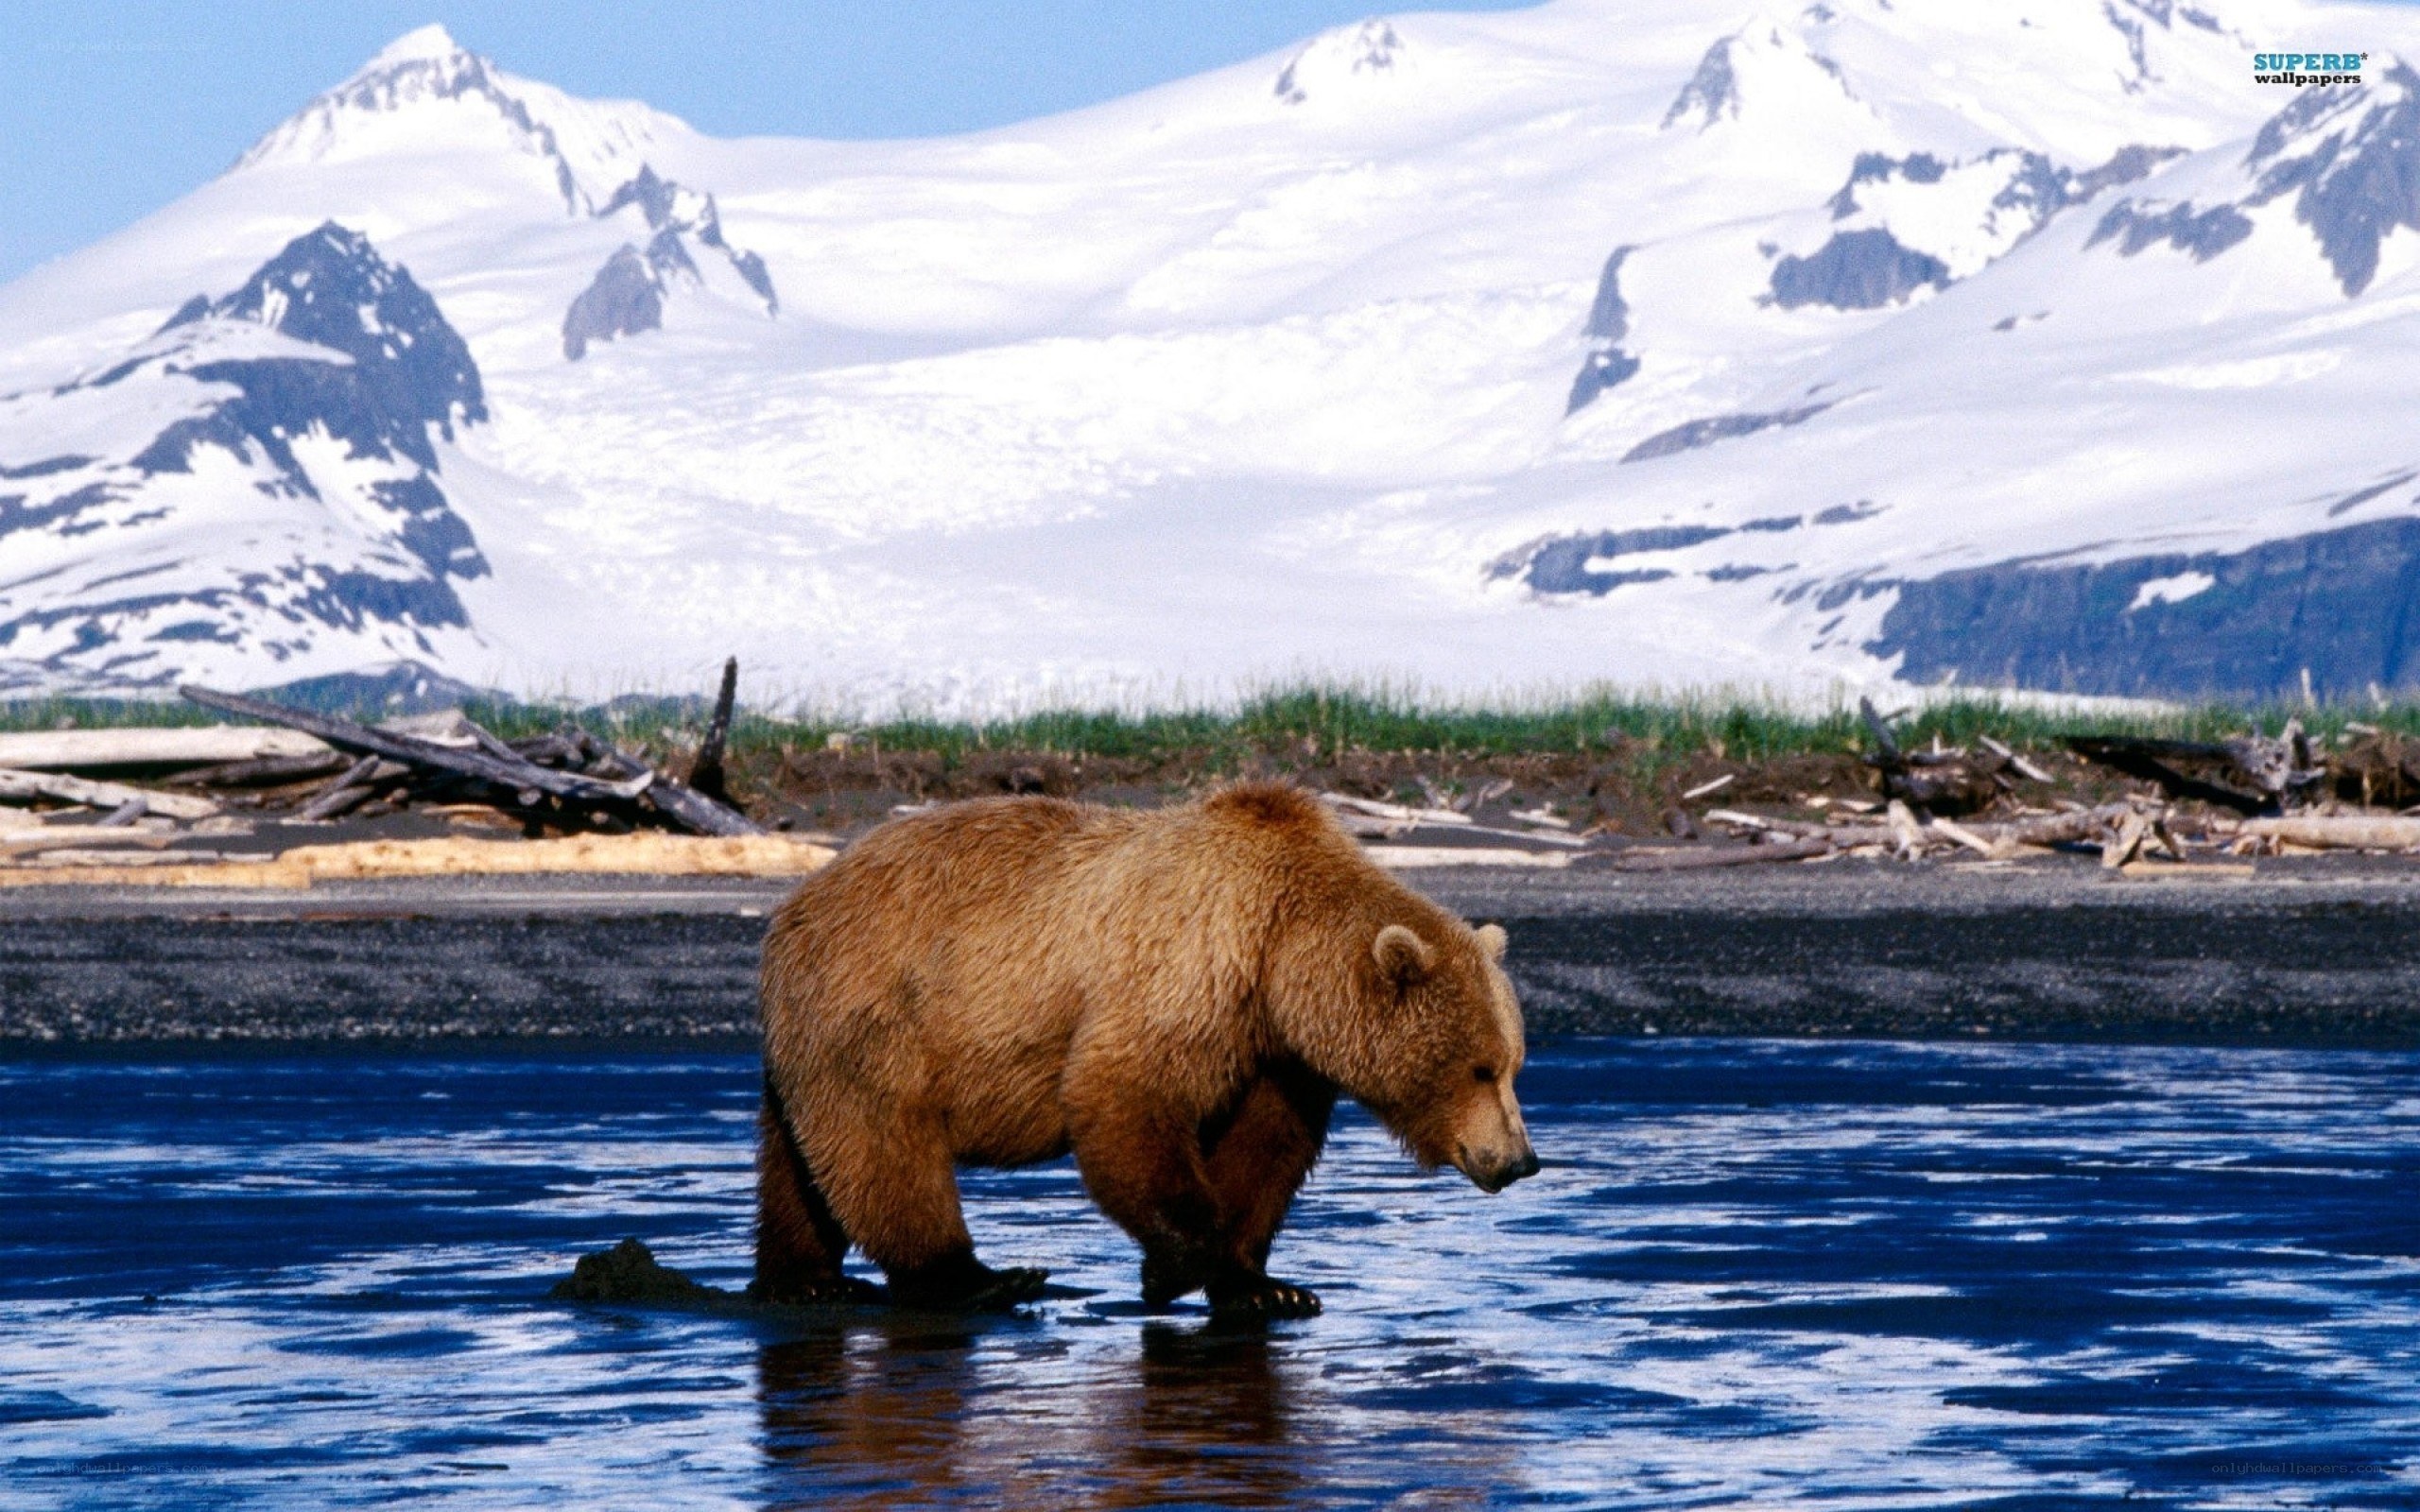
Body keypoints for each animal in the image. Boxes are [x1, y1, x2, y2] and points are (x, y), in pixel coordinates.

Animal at [753, 781, 1538, 1317]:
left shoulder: (1275, 1052)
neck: (1279, 951)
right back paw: (977, 1277)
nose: (1521, 1160)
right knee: (884, 1142)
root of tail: (794, 905)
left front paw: (1267, 1287)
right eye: (1479, 1068)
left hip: (816, 1033)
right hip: (880, 1006)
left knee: (802, 1159)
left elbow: (1265, 1151)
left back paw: (806, 1278)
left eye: (1513, 1065)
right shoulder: (1192, 965)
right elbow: (1125, 1092)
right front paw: (1170, 1269)